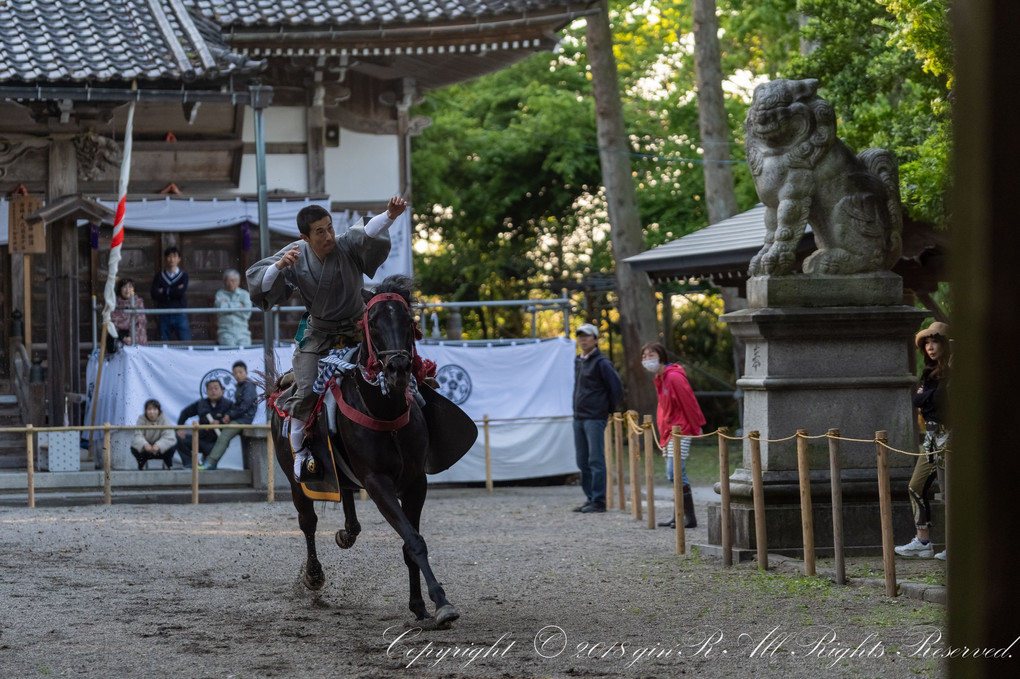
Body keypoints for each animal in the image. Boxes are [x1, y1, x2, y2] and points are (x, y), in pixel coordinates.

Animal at [271, 273, 463, 623]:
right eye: (372, 322)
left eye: (408, 320)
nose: (398, 368)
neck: (383, 411)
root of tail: (281, 387)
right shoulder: (377, 482)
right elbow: (413, 541)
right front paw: (440, 602)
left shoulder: (415, 481)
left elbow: (410, 543)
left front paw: (419, 605)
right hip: (294, 479)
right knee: (307, 521)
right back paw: (314, 575)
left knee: (346, 500)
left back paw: (347, 533)